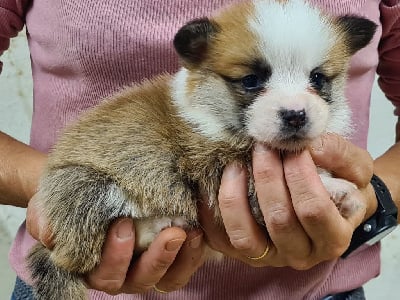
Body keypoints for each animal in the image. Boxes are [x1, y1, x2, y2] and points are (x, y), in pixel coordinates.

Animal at [27, 1, 376, 298]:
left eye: (318, 79)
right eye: (250, 80)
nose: (295, 115)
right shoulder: (220, 172)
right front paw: (339, 190)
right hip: (86, 187)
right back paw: (162, 225)